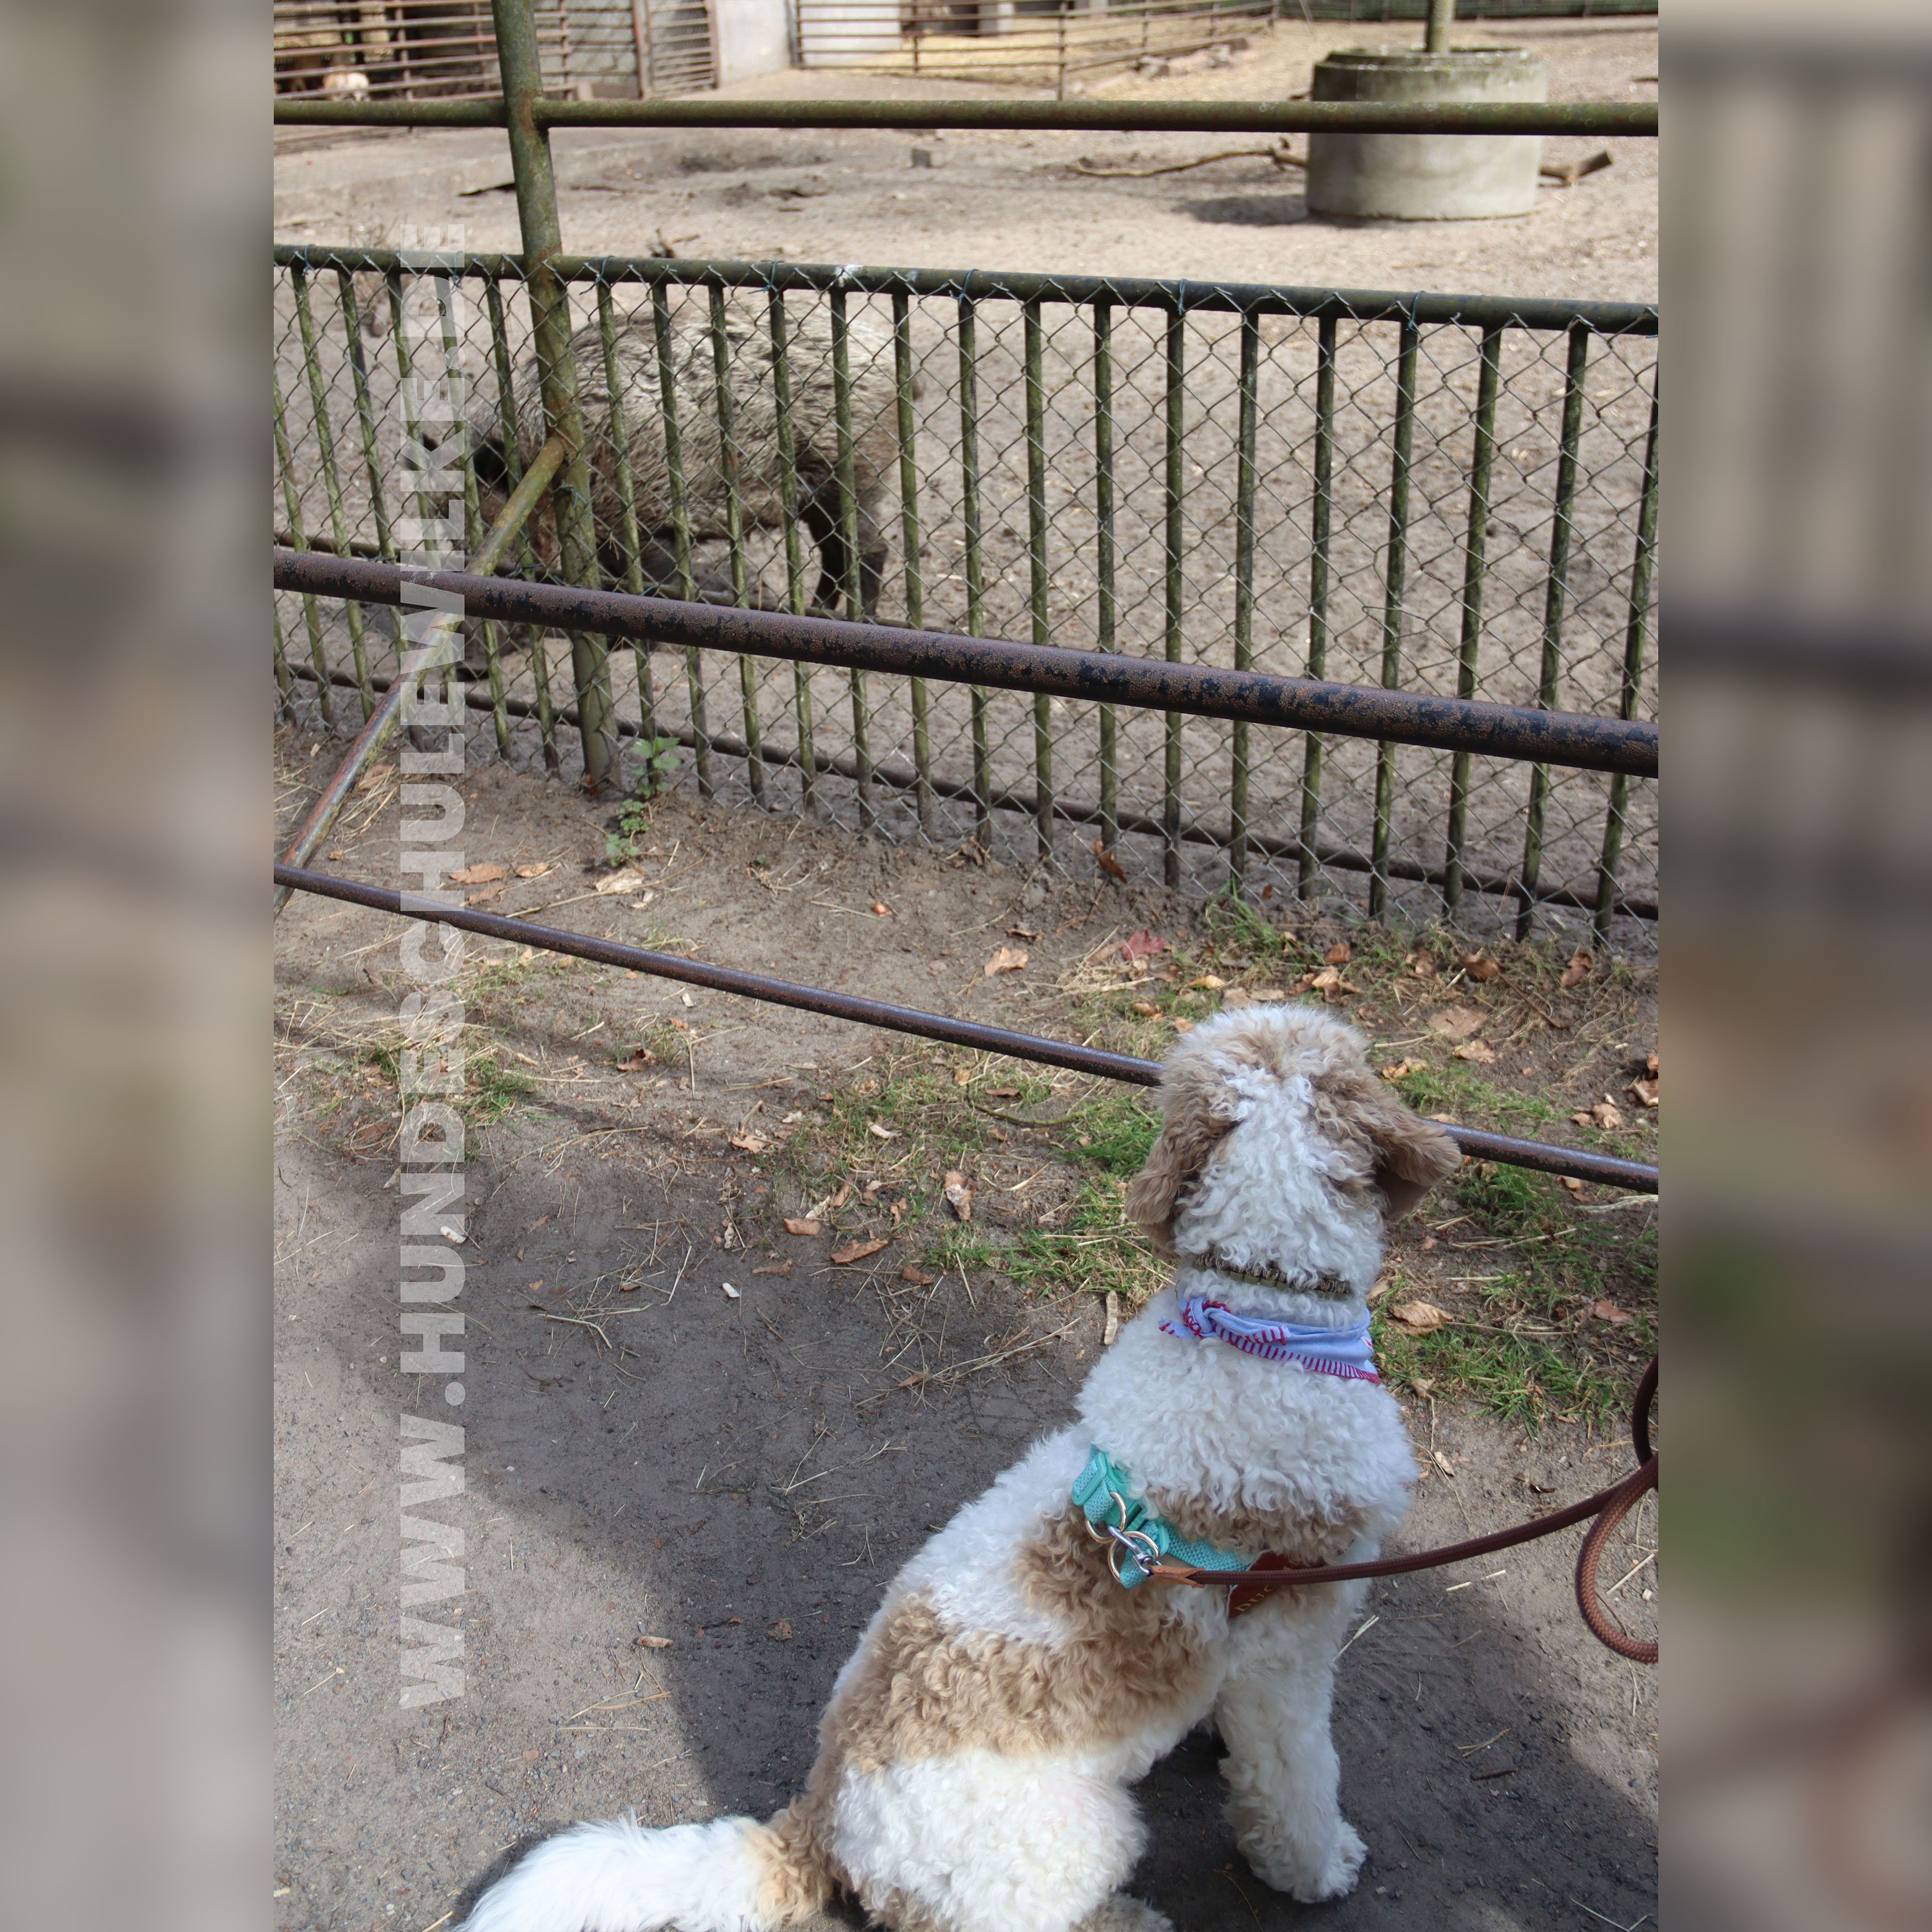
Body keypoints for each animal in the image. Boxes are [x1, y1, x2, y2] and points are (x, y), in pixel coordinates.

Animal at [458, 1003, 1461, 1932]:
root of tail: (819, 1824)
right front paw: (1320, 1867)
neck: (1260, 1318)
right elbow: (1294, 1784)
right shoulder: (1290, 1648)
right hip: (1078, 1838)